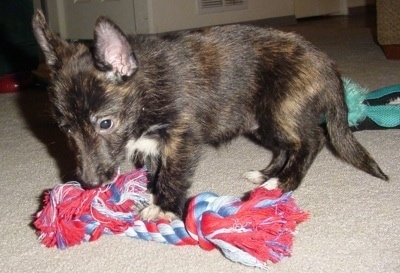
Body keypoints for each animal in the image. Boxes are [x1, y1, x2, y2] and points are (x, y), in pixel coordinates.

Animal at [32, 10, 388, 219]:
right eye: (64, 128)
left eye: (105, 123)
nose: (90, 184)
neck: (144, 87)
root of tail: (327, 65)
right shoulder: (156, 145)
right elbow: (156, 169)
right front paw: (151, 192)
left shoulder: (181, 138)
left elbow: (173, 174)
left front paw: (164, 208)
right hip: (261, 121)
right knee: (286, 147)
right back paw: (265, 175)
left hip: (281, 111)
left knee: (311, 141)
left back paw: (283, 182)